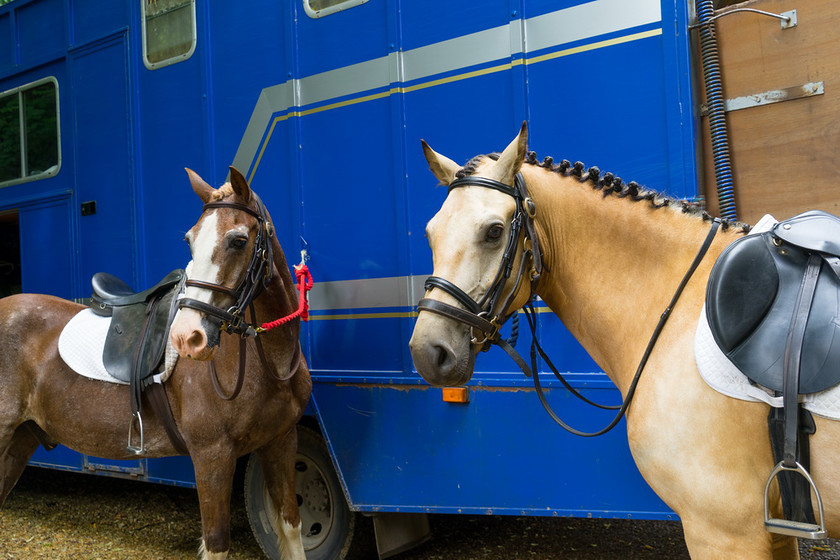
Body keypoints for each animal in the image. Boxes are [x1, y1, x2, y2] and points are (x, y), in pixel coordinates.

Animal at [0, 167, 312, 560]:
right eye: (190, 240)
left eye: (239, 240)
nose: (187, 337)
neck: (268, 363)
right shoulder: (212, 456)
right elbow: (217, 542)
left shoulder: (282, 442)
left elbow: (291, 525)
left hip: (21, 438)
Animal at [410, 123, 840, 560]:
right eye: (430, 233)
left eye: (494, 232)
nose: (428, 352)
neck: (678, 301)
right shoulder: (773, 533)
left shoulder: (725, 532)